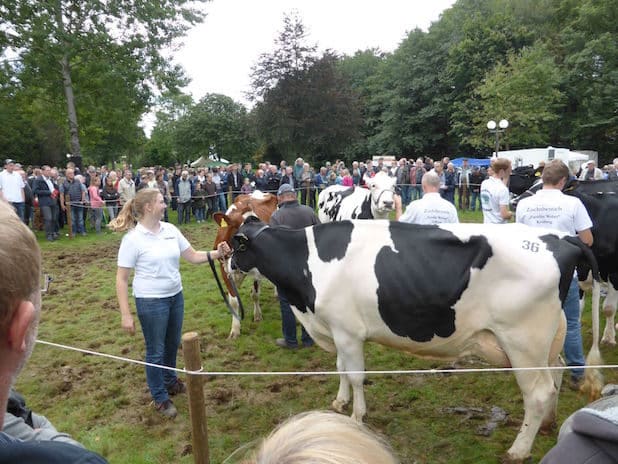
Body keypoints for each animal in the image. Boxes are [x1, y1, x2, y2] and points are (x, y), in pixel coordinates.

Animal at [229, 218, 600, 464]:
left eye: (237, 245)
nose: (228, 265)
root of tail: (560, 237)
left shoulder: (348, 331)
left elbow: (356, 375)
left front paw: (357, 416)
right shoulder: (336, 329)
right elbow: (340, 369)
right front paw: (339, 402)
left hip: (523, 341)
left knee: (537, 393)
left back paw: (519, 449)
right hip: (548, 337)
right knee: (557, 372)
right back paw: (548, 424)